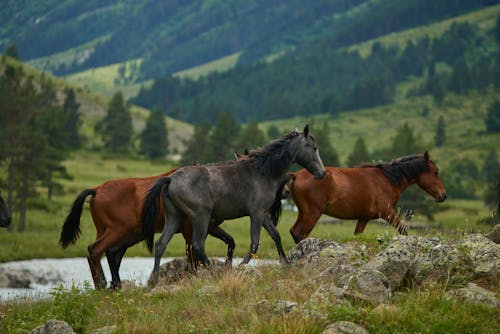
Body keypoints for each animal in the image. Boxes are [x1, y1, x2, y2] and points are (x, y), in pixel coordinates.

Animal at [59, 170, 236, 290]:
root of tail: (96, 189)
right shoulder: (190, 228)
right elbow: (192, 253)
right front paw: (191, 278)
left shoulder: (210, 226)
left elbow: (229, 241)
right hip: (118, 230)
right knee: (96, 249)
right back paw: (102, 284)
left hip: (119, 232)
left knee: (111, 253)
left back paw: (115, 285)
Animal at [143, 124, 326, 284]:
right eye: (313, 147)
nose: (322, 173)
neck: (264, 172)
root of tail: (171, 179)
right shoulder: (256, 214)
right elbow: (254, 243)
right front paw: (240, 267)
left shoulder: (263, 214)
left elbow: (275, 235)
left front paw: (285, 263)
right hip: (200, 217)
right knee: (197, 245)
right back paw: (213, 272)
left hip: (174, 217)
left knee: (161, 244)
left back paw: (155, 280)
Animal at [292, 152, 448, 243]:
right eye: (435, 172)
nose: (443, 196)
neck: (387, 179)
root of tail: (296, 175)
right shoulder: (387, 213)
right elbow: (403, 230)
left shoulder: (363, 218)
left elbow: (357, 236)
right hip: (312, 214)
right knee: (300, 235)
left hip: (303, 214)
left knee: (294, 232)